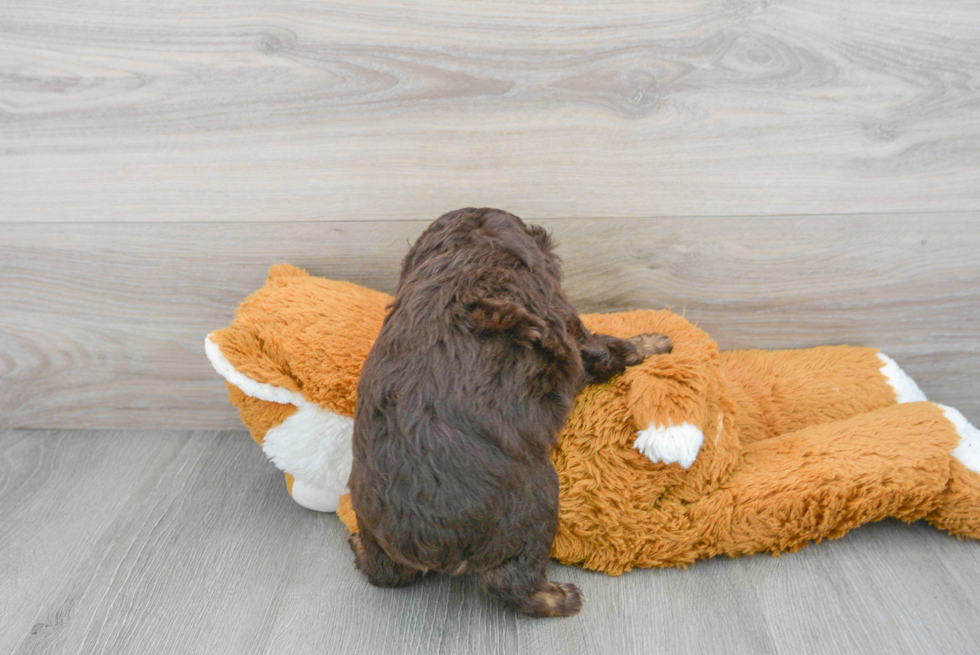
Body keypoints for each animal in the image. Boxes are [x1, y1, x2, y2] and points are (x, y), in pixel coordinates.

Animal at [348, 208, 668, 616]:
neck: (468, 254)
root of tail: (425, 536)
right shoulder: (574, 332)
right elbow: (616, 347)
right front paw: (656, 341)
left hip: (372, 521)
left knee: (387, 573)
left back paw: (357, 547)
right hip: (535, 502)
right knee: (510, 581)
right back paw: (562, 598)